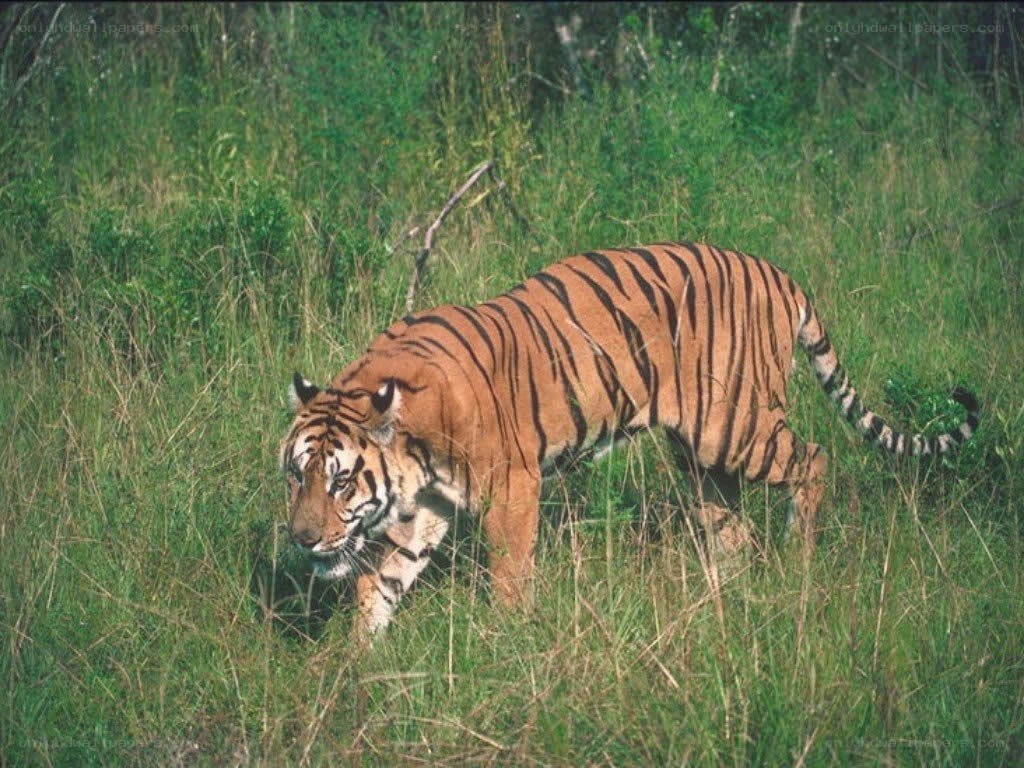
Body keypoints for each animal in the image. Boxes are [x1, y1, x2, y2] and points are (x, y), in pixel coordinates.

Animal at [279, 242, 979, 639]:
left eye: (341, 480)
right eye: (296, 474)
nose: (303, 539)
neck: (413, 451)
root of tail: (780, 274)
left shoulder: (511, 489)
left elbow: (508, 576)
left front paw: (508, 640)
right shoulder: (424, 508)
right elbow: (380, 584)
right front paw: (357, 671)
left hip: (736, 428)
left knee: (814, 459)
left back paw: (797, 561)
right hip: (700, 456)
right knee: (730, 525)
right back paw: (725, 597)